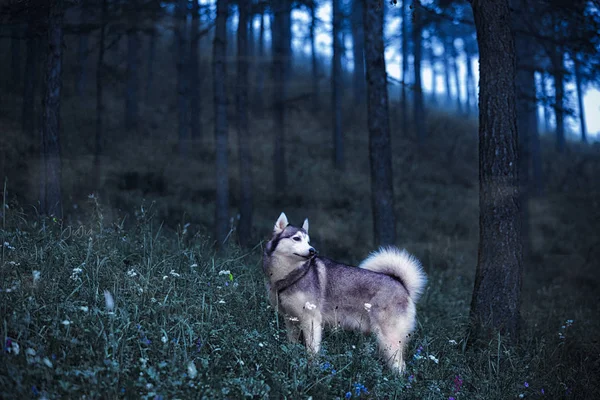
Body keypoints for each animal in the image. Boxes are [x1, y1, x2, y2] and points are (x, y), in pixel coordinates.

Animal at [262, 212, 426, 372]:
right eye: (296, 238)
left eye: (308, 241)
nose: (312, 250)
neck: (291, 275)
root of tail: (401, 284)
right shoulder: (291, 321)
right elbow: (293, 347)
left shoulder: (311, 320)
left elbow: (312, 351)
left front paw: (312, 370)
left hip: (389, 339)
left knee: (400, 367)